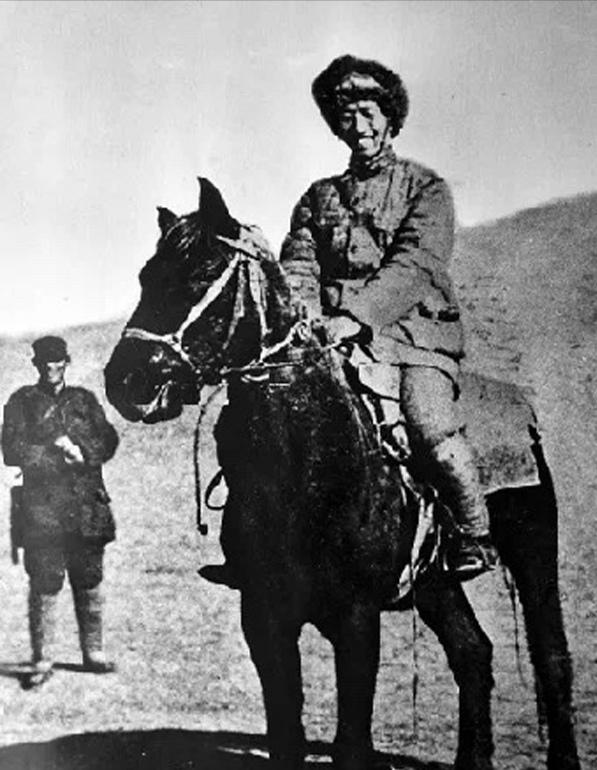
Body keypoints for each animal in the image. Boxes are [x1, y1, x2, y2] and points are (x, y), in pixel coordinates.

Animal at [104, 178, 580, 770]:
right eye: (145, 276)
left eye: (200, 272)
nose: (125, 381)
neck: (306, 466)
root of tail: (523, 411)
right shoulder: (264, 617)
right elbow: (285, 732)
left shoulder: (357, 620)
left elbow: (351, 740)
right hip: (435, 581)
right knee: (474, 653)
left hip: (533, 554)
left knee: (553, 658)